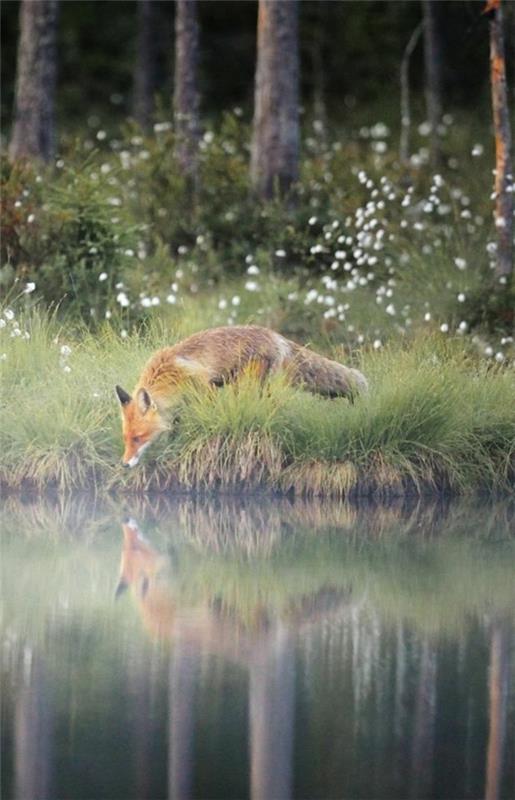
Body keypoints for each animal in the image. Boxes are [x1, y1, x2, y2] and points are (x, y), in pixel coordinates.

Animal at [115, 322, 368, 466]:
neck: (168, 375)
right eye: (126, 438)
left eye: (138, 438)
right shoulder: (178, 408)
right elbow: (174, 428)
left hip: (251, 385)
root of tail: (277, 336)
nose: (124, 464)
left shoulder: (206, 389)